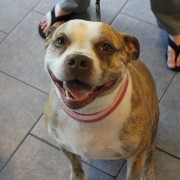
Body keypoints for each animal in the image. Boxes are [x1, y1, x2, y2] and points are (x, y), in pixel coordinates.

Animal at [43, 19, 159, 180]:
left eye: (106, 47)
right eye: (60, 40)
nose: (78, 60)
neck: (89, 113)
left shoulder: (136, 157)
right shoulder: (65, 147)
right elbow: (76, 166)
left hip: (153, 128)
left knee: (151, 151)